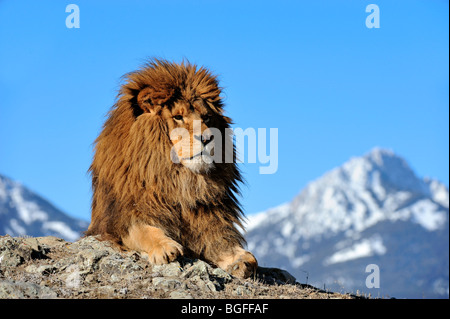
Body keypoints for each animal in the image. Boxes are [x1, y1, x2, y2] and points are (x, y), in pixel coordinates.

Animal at [85, 58, 258, 278]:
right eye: (178, 117)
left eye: (206, 117)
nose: (208, 137)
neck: (178, 182)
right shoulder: (117, 223)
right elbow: (143, 230)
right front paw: (165, 247)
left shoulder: (212, 223)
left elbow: (232, 249)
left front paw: (240, 260)